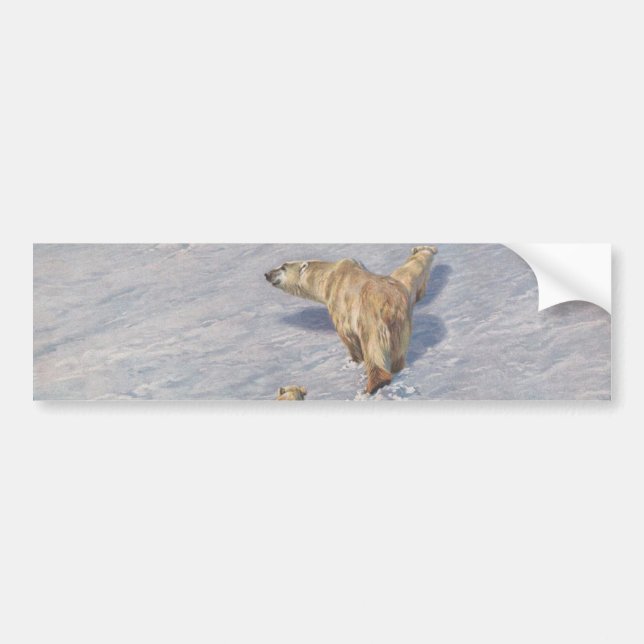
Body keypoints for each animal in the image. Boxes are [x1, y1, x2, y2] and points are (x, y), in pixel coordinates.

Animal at [265, 246, 438, 394]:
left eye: (283, 267)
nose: (267, 274)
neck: (329, 277)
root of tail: (390, 303)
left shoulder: (341, 306)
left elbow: (347, 336)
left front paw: (354, 361)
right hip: (402, 324)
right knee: (398, 351)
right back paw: (397, 369)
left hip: (370, 318)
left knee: (373, 348)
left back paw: (375, 383)